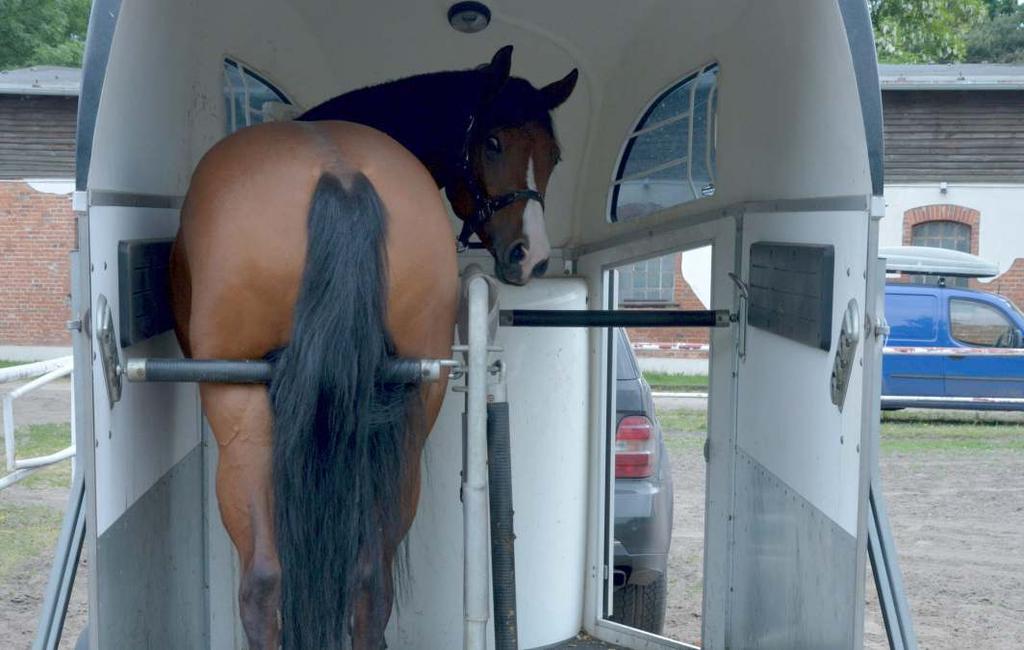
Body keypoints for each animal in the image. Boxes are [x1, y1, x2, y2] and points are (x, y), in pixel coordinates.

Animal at [172, 50, 581, 650]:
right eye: (493, 142)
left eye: (553, 154)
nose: (532, 256)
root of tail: (339, 176)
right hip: (408, 413)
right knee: (370, 578)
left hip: (240, 413)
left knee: (265, 581)